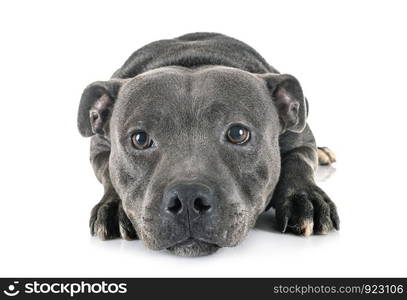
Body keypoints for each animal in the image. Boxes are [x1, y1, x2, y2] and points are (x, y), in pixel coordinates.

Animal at [77, 33, 342, 258]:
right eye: (140, 139)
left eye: (238, 133)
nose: (187, 198)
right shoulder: (99, 149)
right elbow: (108, 173)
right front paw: (113, 207)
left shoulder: (301, 140)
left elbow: (299, 161)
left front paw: (304, 199)